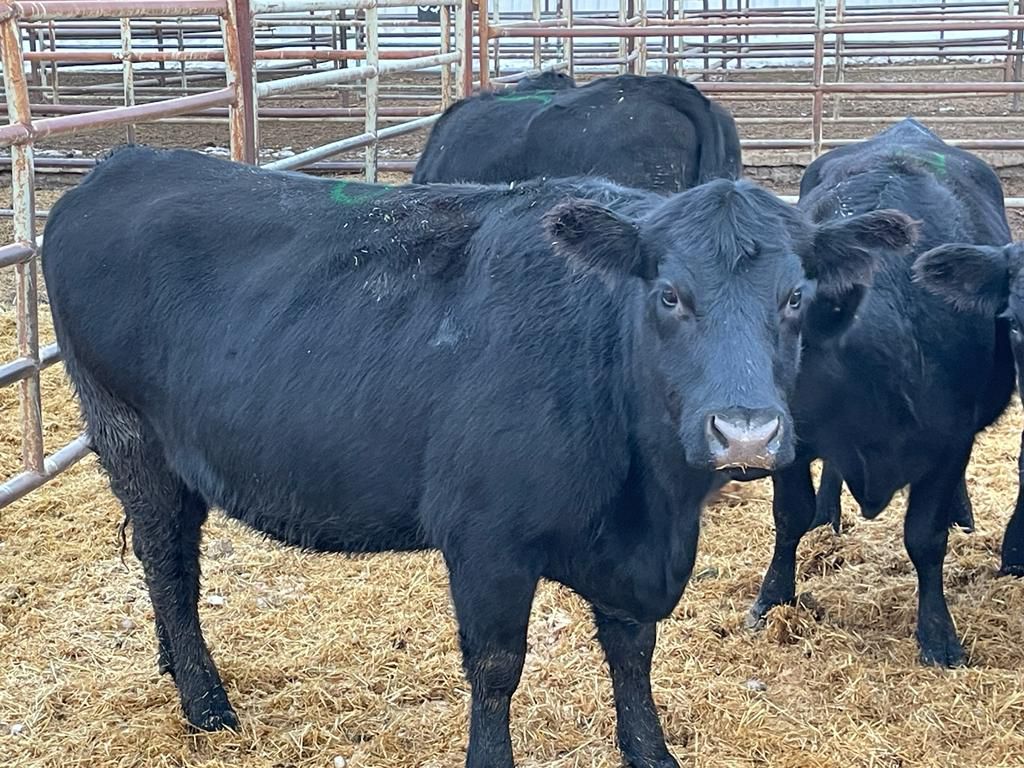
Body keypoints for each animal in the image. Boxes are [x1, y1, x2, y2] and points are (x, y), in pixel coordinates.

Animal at [42, 145, 914, 768]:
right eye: (669, 294)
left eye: (796, 298)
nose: (746, 432)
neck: (649, 501)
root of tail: (126, 160)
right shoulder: (486, 540)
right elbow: (497, 667)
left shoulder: (633, 555)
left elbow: (633, 652)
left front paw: (651, 752)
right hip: (132, 439)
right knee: (168, 565)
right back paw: (206, 704)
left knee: (173, 568)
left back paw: (172, 668)